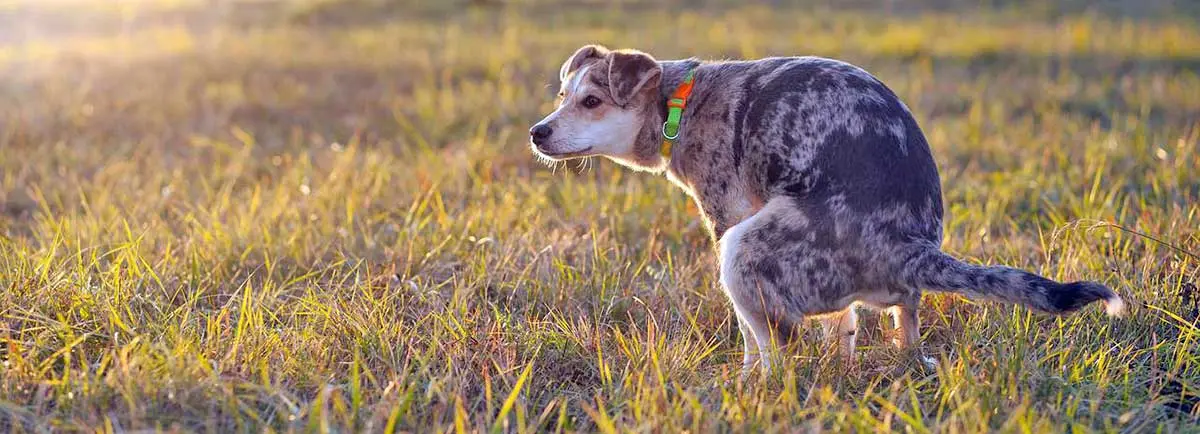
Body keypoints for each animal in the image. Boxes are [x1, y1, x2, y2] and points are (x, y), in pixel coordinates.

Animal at [525, 44, 1123, 374]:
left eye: (592, 102)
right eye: (561, 97)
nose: (537, 132)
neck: (679, 102)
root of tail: (911, 248)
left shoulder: (728, 217)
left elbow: (752, 337)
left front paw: (746, 379)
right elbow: (844, 325)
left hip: (742, 250)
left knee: (781, 349)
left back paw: (763, 388)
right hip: (888, 296)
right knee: (900, 326)